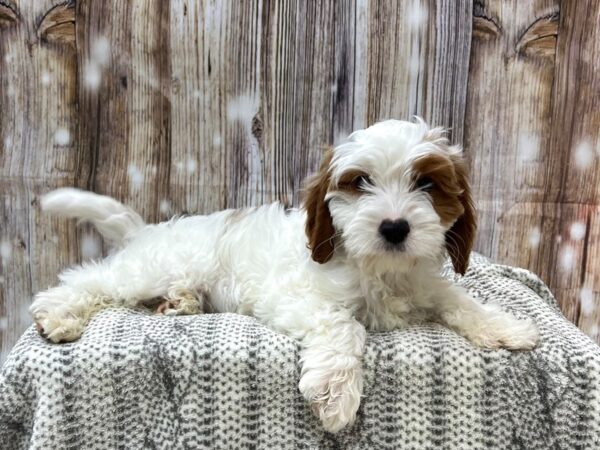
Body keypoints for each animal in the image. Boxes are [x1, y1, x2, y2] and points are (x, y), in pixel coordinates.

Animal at [30, 118, 540, 432]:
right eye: (360, 182)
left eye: (427, 184)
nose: (395, 227)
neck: (380, 268)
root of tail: (146, 230)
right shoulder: (292, 297)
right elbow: (345, 324)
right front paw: (335, 392)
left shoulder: (427, 286)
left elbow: (460, 301)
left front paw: (506, 326)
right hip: (150, 267)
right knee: (91, 280)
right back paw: (59, 314)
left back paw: (180, 302)